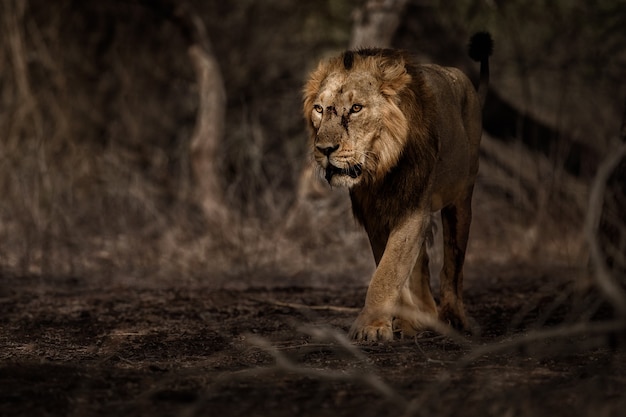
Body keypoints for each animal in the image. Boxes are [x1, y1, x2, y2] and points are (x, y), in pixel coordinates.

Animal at [302, 33, 492, 342]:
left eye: (356, 108)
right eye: (319, 109)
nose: (324, 150)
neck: (380, 167)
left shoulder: (413, 208)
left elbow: (387, 273)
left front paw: (370, 327)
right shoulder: (376, 216)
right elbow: (392, 270)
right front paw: (401, 322)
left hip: (461, 200)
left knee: (453, 264)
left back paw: (453, 318)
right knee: (422, 265)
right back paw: (423, 317)